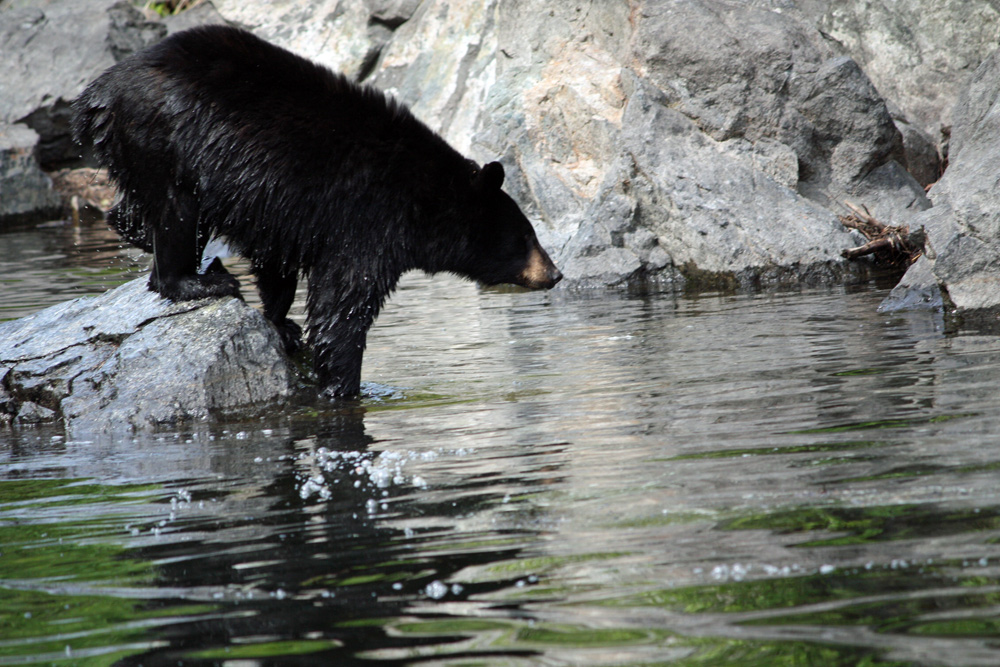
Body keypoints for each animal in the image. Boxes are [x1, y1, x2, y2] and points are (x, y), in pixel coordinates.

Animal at [74, 26, 564, 400]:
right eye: (527, 236)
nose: (555, 273)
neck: (424, 198)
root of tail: (99, 90)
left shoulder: (284, 212)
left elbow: (278, 267)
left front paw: (282, 325)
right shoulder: (368, 219)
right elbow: (343, 303)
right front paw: (342, 384)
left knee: (138, 211)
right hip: (164, 138)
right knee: (176, 211)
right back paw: (198, 280)